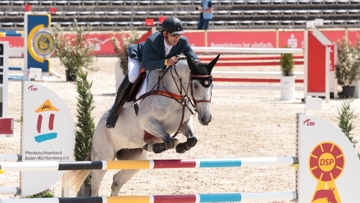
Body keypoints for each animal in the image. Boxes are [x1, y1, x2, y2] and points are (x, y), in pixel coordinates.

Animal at [64, 54, 219, 197]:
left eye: (211, 85)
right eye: (195, 85)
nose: (206, 118)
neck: (172, 94)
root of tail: (97, 129)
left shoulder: (183, 122)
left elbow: (192, 139)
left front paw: (181, 147)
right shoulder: (147, 122)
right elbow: (168, 140)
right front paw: (164, 145)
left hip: (135, 160)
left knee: (116, 181)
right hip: (103, 158)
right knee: (95, 188)